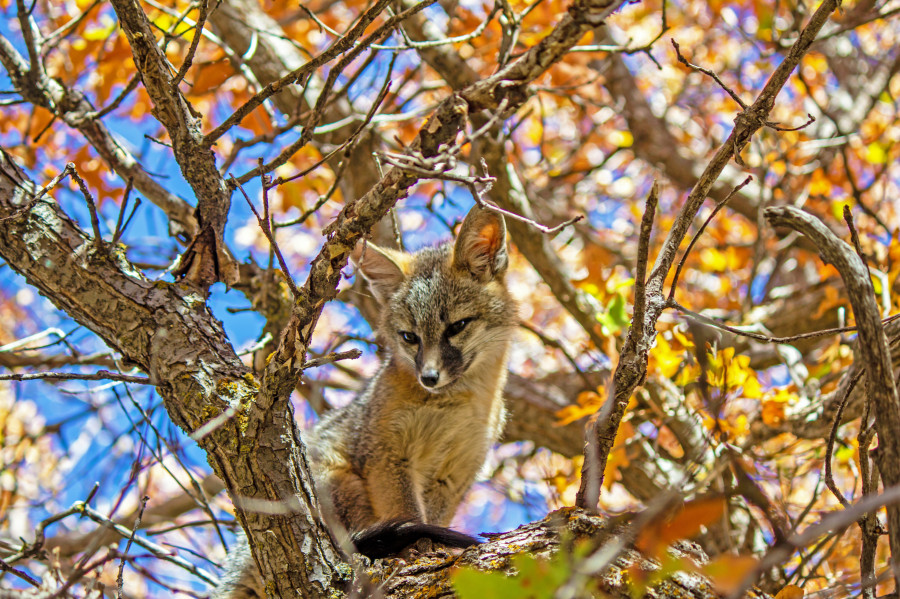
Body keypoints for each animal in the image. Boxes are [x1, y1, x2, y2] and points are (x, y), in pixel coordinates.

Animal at [212, 204, 516, 596]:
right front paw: (420, 553)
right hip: (342, 480)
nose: (429, 378)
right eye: (410, 337)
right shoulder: (386, 456)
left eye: (457, 327)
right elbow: (410, 516)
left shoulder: (454, 476)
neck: (454, 406)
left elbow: (431, 518)